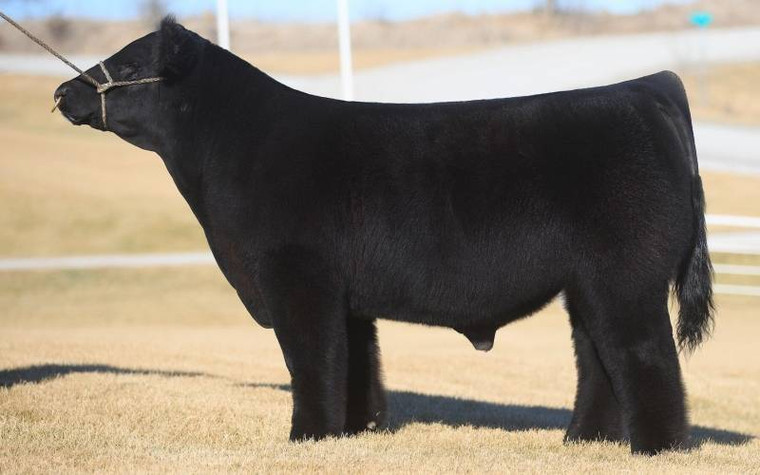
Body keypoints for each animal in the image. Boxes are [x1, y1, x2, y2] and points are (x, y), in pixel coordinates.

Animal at [54, 17, 714, 455]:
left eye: (132, 66)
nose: (64, 91)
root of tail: (646, 88)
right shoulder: (345, 297)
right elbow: (353, 363)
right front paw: (355, 431)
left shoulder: (297, 278)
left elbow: (310, 358)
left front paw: (306, 437)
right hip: (587, 284)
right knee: (597, 359)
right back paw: (583, 442)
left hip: (625, 280)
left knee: (645, 357)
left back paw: (657, 449)